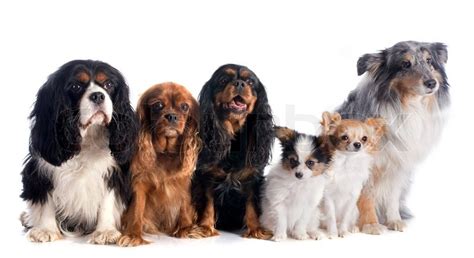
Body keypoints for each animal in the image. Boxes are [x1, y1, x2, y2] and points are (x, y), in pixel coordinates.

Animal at [20, 60, 139, 244]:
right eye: (76, 86)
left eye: (108, 85)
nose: (98, 95)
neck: (87, 137)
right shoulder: (40, 170)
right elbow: (46, 200)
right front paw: (46, 230)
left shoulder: (114, 172)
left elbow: (108, 200)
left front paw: (105, 231)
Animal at [118, 82, 202, 246]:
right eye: (158, 105)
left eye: (184, 107)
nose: (171, 115)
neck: (166, 153)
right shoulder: (139, 184)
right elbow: (137, 210)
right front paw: (133, 235)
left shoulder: (184, 182)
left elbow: (184, 205)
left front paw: (186, 228)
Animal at [193, 63, 274, 239]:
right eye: (223, 80)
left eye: (250, 82)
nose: (239, 83)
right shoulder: (206, 175)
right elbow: (208, 203)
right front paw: (205, 227)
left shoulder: (253, 177)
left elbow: (252, 203)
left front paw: (255, 229)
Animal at [336, 40, 448, 234]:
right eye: (405, 64)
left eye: (429, 61)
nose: (431, 83)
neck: (407, 105)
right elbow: (366, 195)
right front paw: (371, 224)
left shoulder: (399, 163)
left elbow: (393, 195)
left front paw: (394, 220)